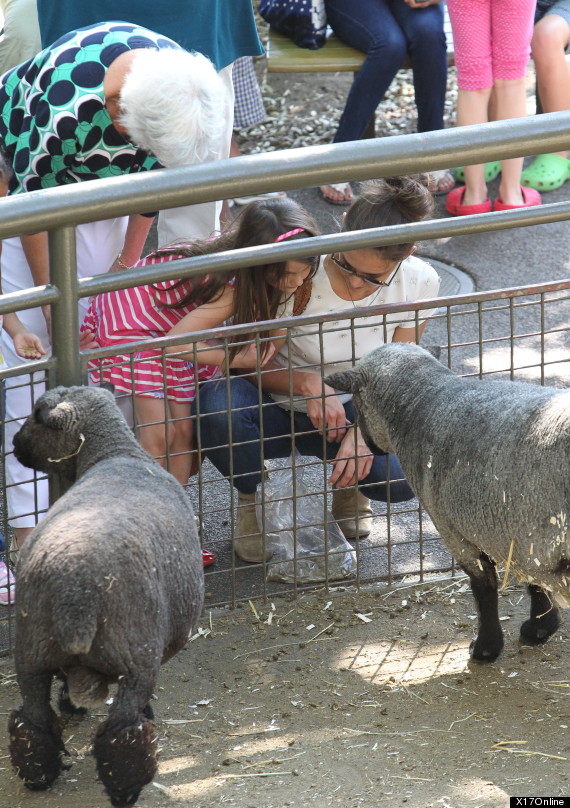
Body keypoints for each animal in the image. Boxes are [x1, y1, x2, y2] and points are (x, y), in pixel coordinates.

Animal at [8, 388, 204, 804]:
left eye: (35, 412)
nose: (13, 444)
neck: (117, 453)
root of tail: (74, 595)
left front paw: (70, 703)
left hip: (31, 652)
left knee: (32, 722)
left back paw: (38, 777)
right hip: (135, 654)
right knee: (122, 733)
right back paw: (126, 789)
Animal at [324, 340, 568, 664]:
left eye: (357, 401)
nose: (369, 447)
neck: (425, 401)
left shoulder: (455, 530)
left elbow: (484, 587)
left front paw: (486, 648)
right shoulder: (521, 533)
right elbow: (534, 579)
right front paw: (541, 627)